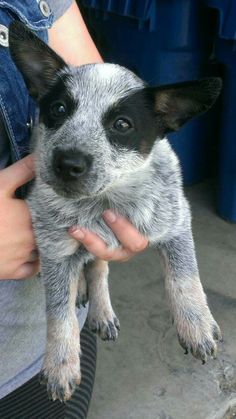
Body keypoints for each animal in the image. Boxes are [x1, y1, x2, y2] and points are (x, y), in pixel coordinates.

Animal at [9, 23, 222, 404]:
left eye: (122, 124)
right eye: (58, 108)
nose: (68, 163)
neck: (103, 201)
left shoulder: (177, 220)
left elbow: (184, 276)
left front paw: (196, 325)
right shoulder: (54, 249)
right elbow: (59, 313)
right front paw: (61, 364)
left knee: (99, 267)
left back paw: (101, 310)